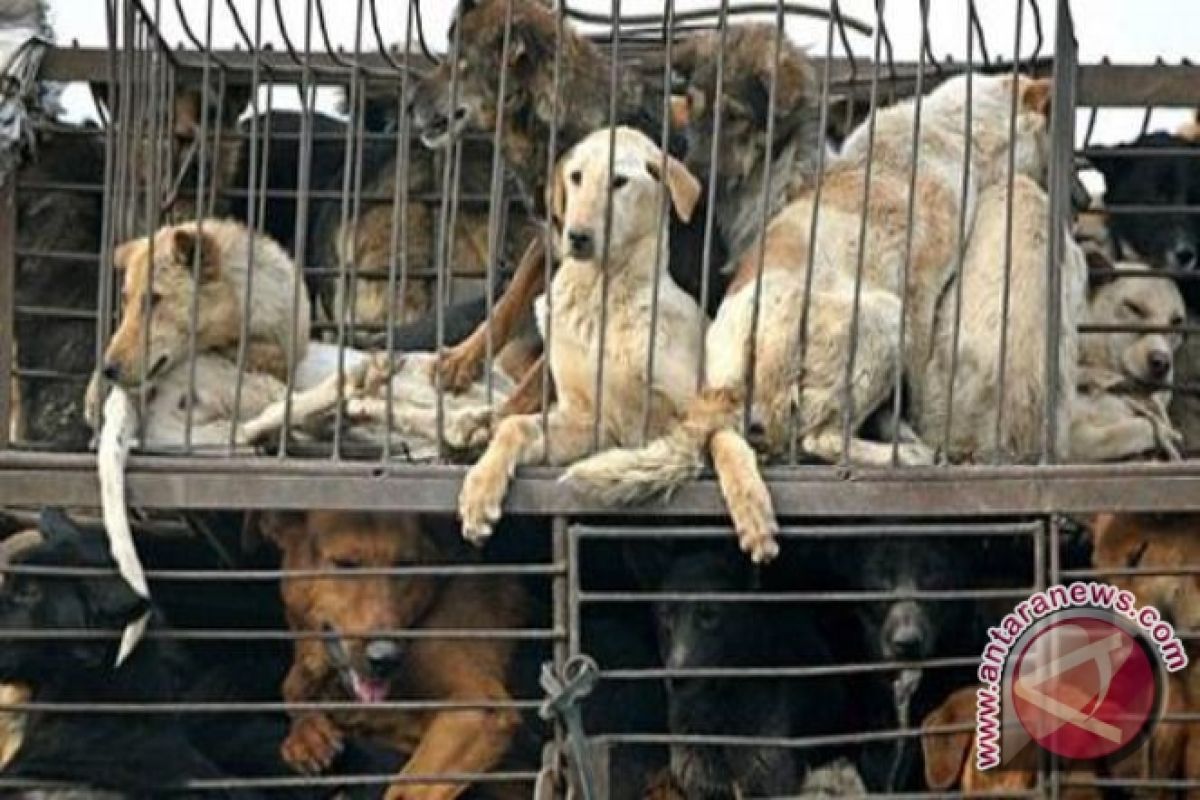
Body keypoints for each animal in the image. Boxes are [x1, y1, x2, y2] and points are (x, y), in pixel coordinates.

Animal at [265, 513, 528, 800]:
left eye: (404, 566)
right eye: (345, 565)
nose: (385, 658)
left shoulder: (477, 706)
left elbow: (405, 787)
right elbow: (292, 687)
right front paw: (307, 735)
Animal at [456, 126, 700, 544]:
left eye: (619, 181)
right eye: (576, 177)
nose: (577, 235)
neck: (602, 295)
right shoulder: (590, 422)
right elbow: (514, 426)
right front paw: (479, 491)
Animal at [566, 74, 1056, 563]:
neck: (958, 129)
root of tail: (738, 363)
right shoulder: (919, 298)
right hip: (884, 318)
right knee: (817, 439)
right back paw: (902, 455)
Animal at [1070, 260, 1190, 462]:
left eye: (1176, 321)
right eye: (1134, 308)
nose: (1161, 362)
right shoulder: (1072, 438)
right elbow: (1140, 426)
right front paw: (1166, 436)